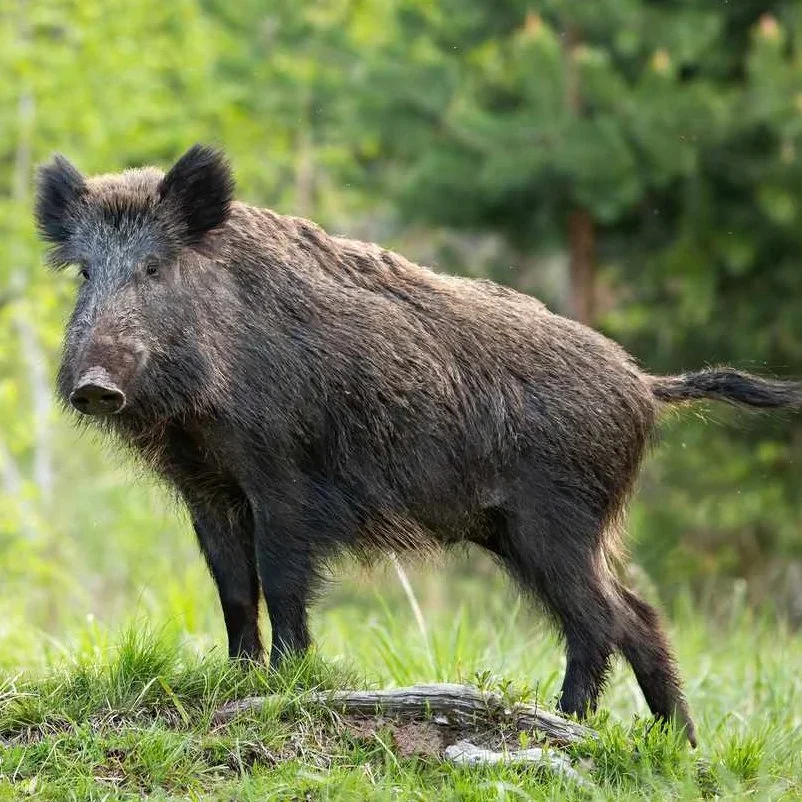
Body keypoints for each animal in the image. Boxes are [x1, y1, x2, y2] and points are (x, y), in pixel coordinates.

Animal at [35, 144, 802, 746]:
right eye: (84, 273)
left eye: (154, 268)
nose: (95, 384)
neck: (201, 413)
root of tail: (645, 384)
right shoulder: (208, 487)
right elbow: (231, 589)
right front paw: (238, 682)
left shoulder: (284, 479)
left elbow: (280, 582)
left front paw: (287, 685)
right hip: (529, 530)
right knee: (638, 616)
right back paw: (680, 747)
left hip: (555, 520)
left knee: (601, 619)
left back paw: (567, 723)